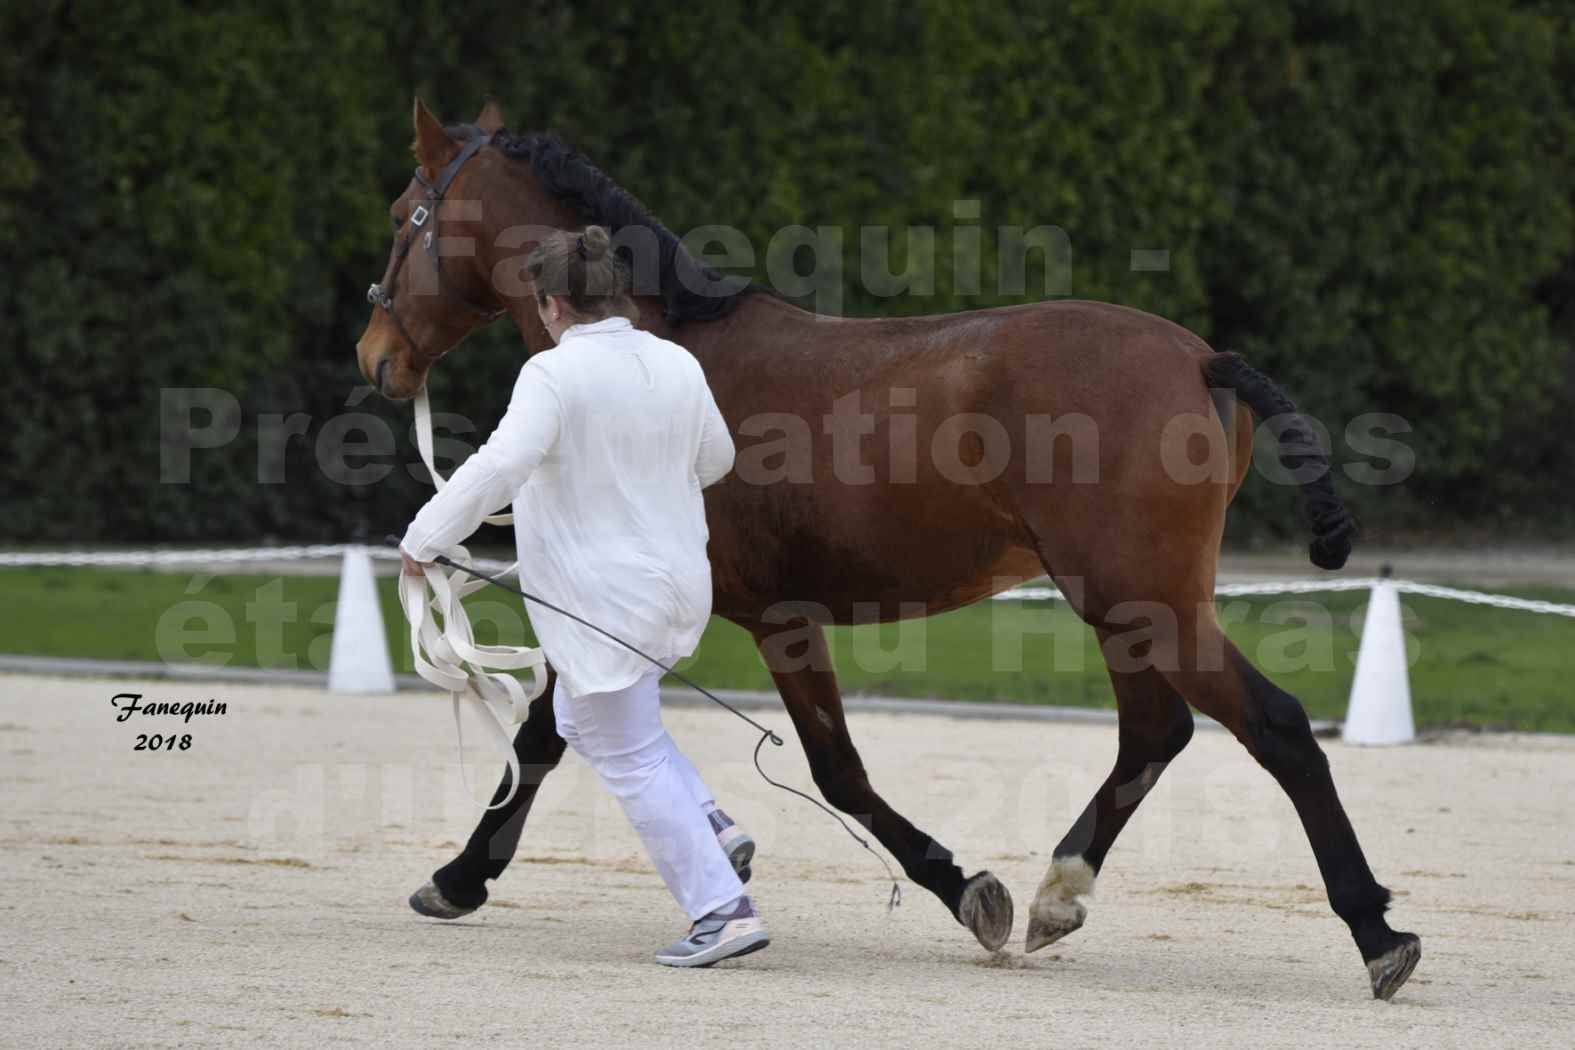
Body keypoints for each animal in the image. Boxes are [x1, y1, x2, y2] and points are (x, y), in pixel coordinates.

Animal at [360, 100, 1430, 1001]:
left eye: (405, 213)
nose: (376, 357)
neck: (662, 341)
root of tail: (1200, 358)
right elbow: (554, 733)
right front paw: (464, 878)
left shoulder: (775, 619)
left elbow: (831, 771)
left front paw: (960, 887)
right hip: (1130, 606)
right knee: (1155, 733)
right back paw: (1058, 896)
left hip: (1142, 601)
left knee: (1274, 726)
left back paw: (1377, 934)